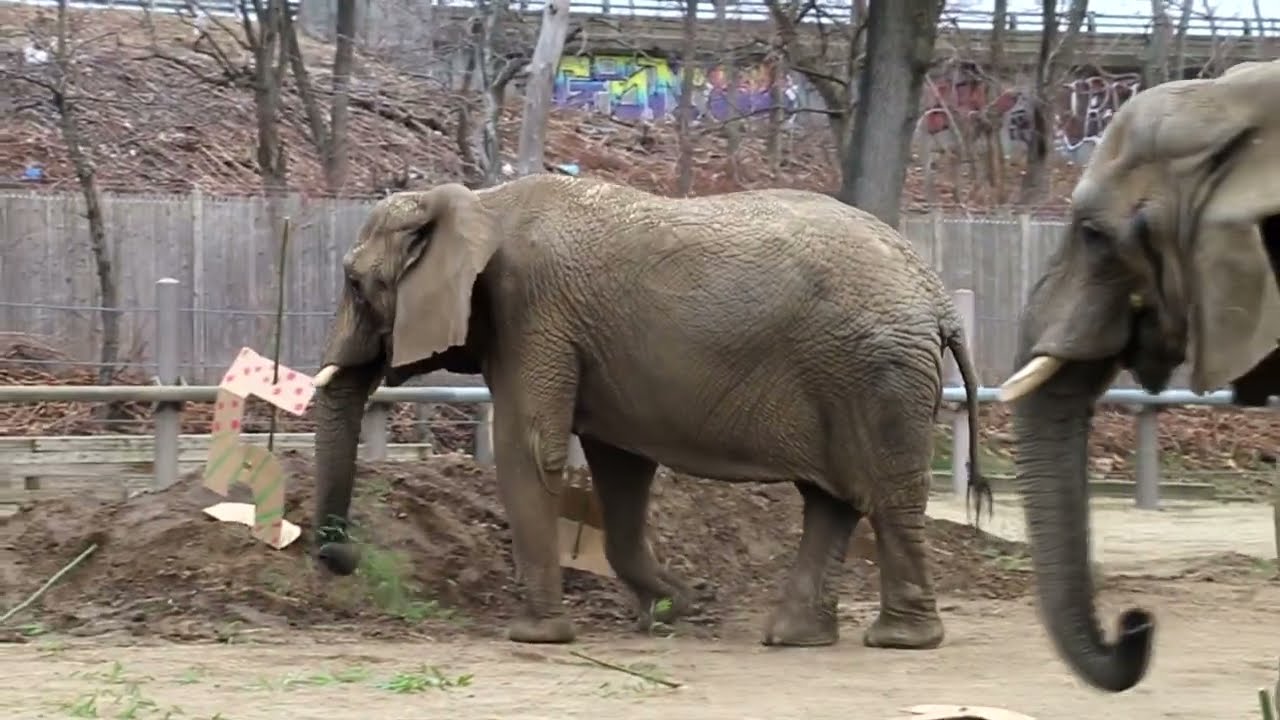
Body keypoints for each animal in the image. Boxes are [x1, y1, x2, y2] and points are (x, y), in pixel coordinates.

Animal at [307, 172, 989, 649]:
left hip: (877, 375)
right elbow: (620, 468)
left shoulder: (532, 314)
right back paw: (795, 638)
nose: (343, 558)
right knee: (833, 499)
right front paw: (674, 608)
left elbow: (530, 448)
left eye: (355, 284)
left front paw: (536, 636)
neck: (478, 200)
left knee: (884, 499)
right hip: (854, 375)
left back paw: (899, 640)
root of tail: (936, 294)